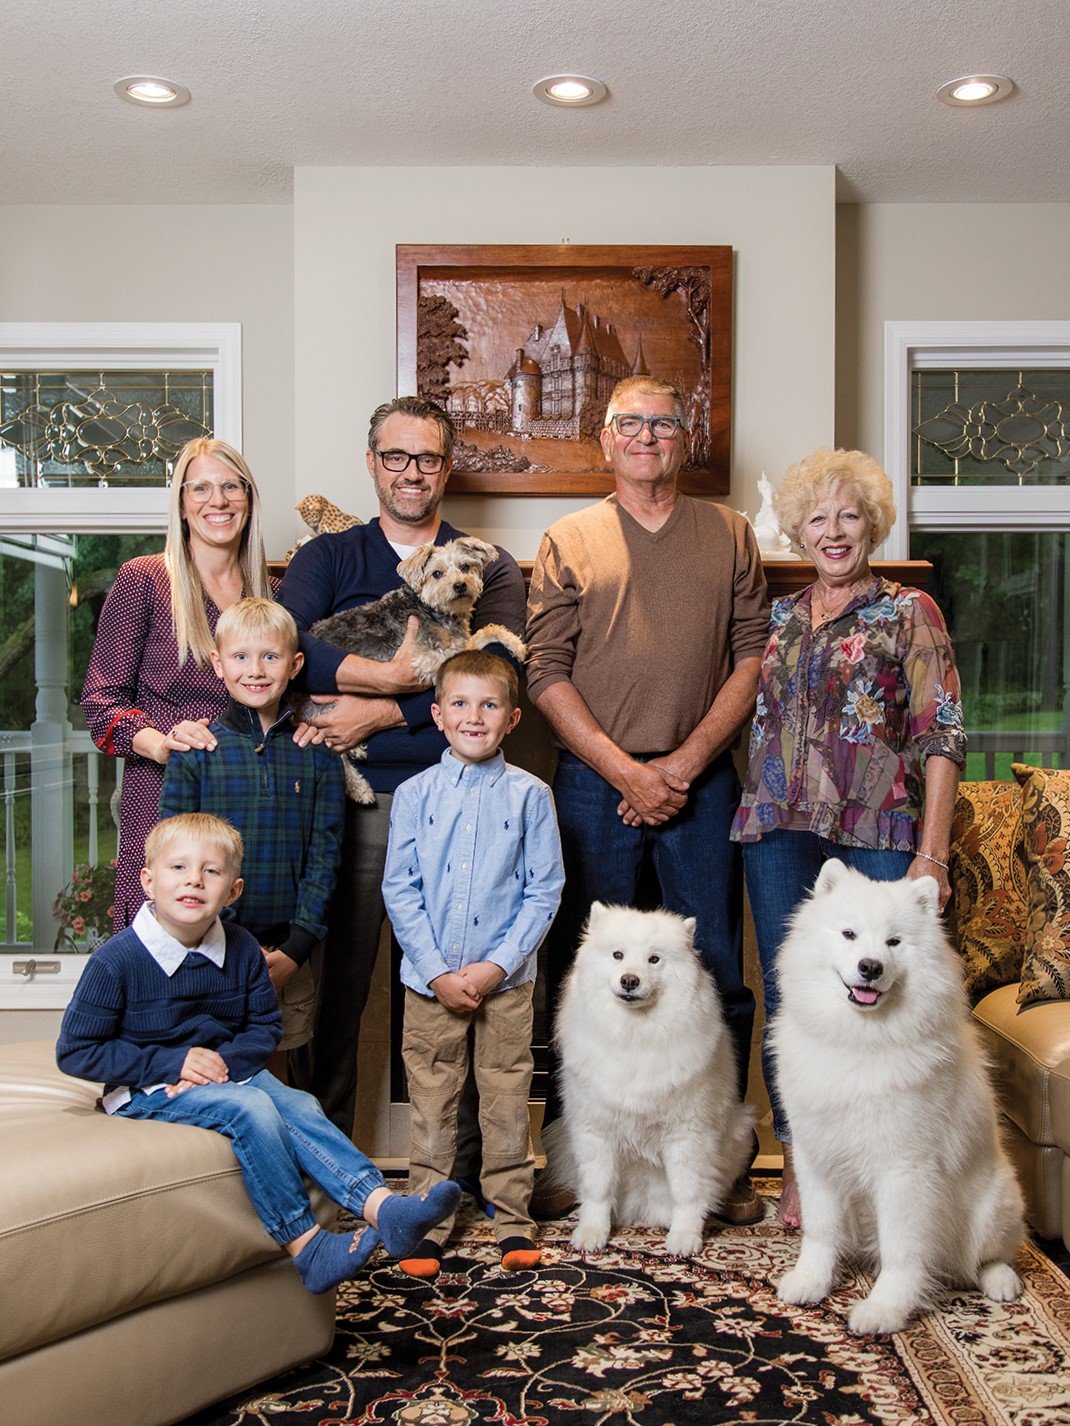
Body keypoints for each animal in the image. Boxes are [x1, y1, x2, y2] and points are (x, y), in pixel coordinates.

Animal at [553, 906, 753, 1254]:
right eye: (618, 955)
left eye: (654, 959)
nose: (629, 980)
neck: (635, 1034)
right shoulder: (596, 1131)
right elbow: (598, 1189)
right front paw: (591, 1233)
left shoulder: (687, 1134)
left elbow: (687, 1192)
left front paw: (685, 1238)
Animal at [776, 855, 1027, 1334]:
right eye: (849, 934)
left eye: (894, 942)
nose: (871, 966)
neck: (858, 1040)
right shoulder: (817, 1157)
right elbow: (820, 1231)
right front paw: (810, 1282)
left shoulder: (904, 1169)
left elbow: (902, 1250)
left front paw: (885, 1310)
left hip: (991, 1207)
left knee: (990, 1257)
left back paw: (1003, 1282)